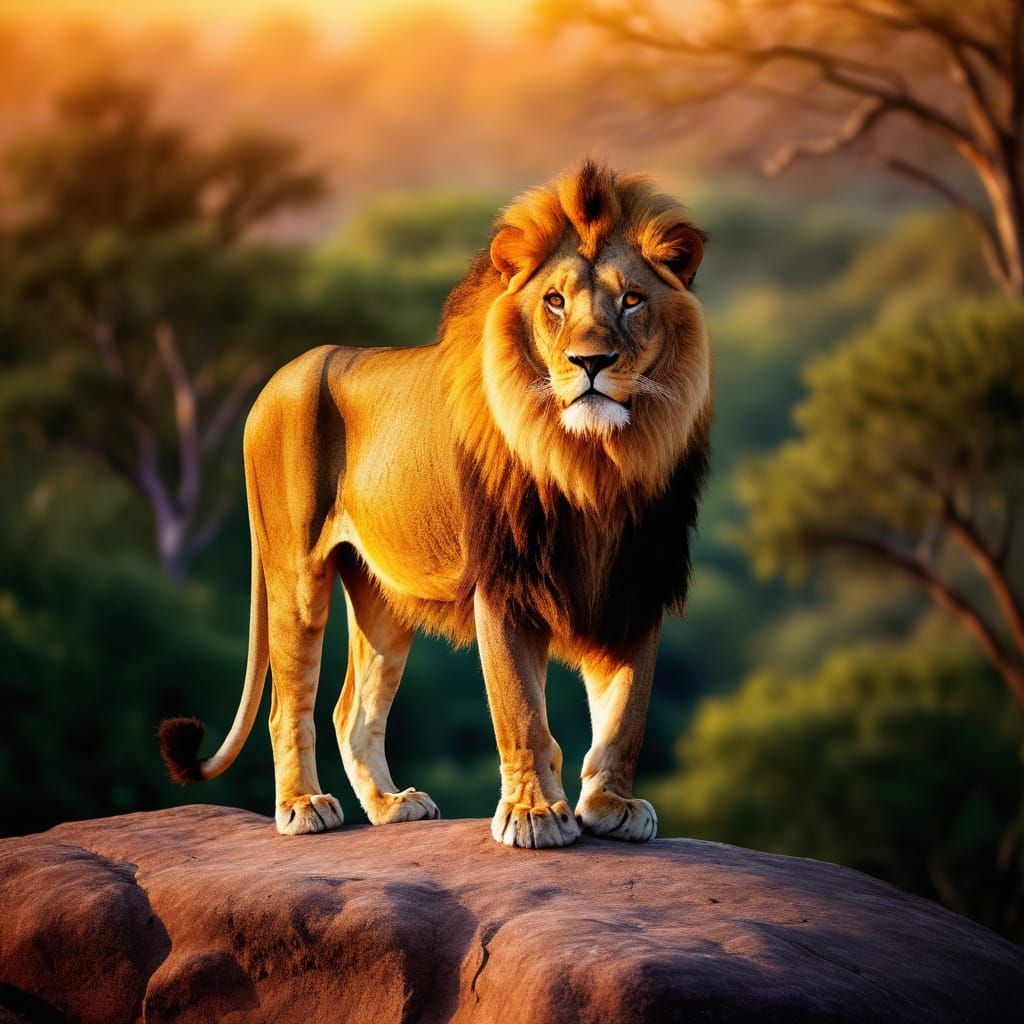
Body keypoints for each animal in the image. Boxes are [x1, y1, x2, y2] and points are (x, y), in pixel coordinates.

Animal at [159, 161, 712, 849]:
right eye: (555, 302)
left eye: (632, 299)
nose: (591, 362)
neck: (593, 463)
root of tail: (274, 378)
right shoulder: (504, 583)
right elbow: (521, 711)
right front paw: (534, 814)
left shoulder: (637, 582)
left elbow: (626, 715)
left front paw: (611, 806)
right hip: (295, 573)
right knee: (291, 703)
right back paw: (303, 806)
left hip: (382, 595)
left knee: (351, 710)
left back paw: (391, 804)